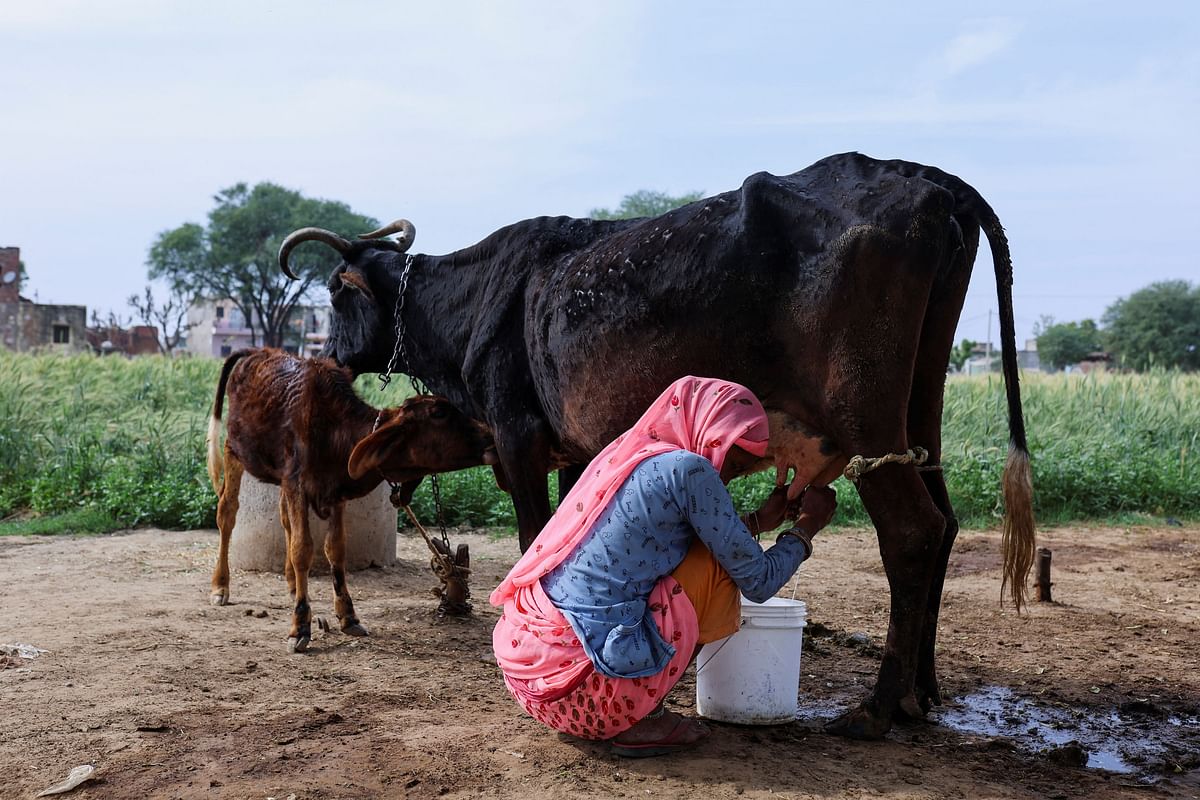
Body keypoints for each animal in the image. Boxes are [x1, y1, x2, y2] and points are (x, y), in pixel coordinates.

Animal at [204, 347, 494, 652]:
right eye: (439, 413)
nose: (489, 432)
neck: (334, 431)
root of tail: (258, 351)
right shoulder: (297, 484)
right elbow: (302, 549)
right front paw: (300, 626)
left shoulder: (333, 493)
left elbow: (335, 549)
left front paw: (348, 615)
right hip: (234, 450)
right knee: (227, 513)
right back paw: (220, 586)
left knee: (284, 519)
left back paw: (293, 584)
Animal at [278, 149, 1032, 738]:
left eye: (336, 295)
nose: (328, 357)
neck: (473, 299)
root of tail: (926, 179)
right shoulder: (575, 449)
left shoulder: (520, 437)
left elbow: (531, 539)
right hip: (919, 406)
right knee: (946, 521)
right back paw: (922, 691)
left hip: (863, 415)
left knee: (912, 530)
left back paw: (880, 706)